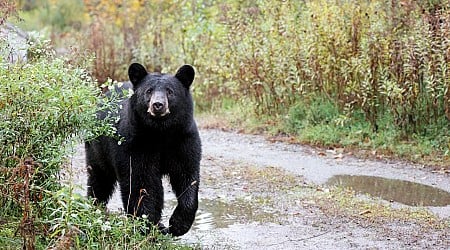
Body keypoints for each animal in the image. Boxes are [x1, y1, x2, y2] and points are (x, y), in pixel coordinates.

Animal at [85, 62, 201, 236]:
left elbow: (187, 175)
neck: (161, 132)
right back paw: (94, 206)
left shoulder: (183, 139)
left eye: (170, 91)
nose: (158, 105)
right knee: (99, 179)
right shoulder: (134, 142)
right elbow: (140, 180)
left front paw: (178, 224)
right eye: (149, 91)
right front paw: (146, 224)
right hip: (97, 148)